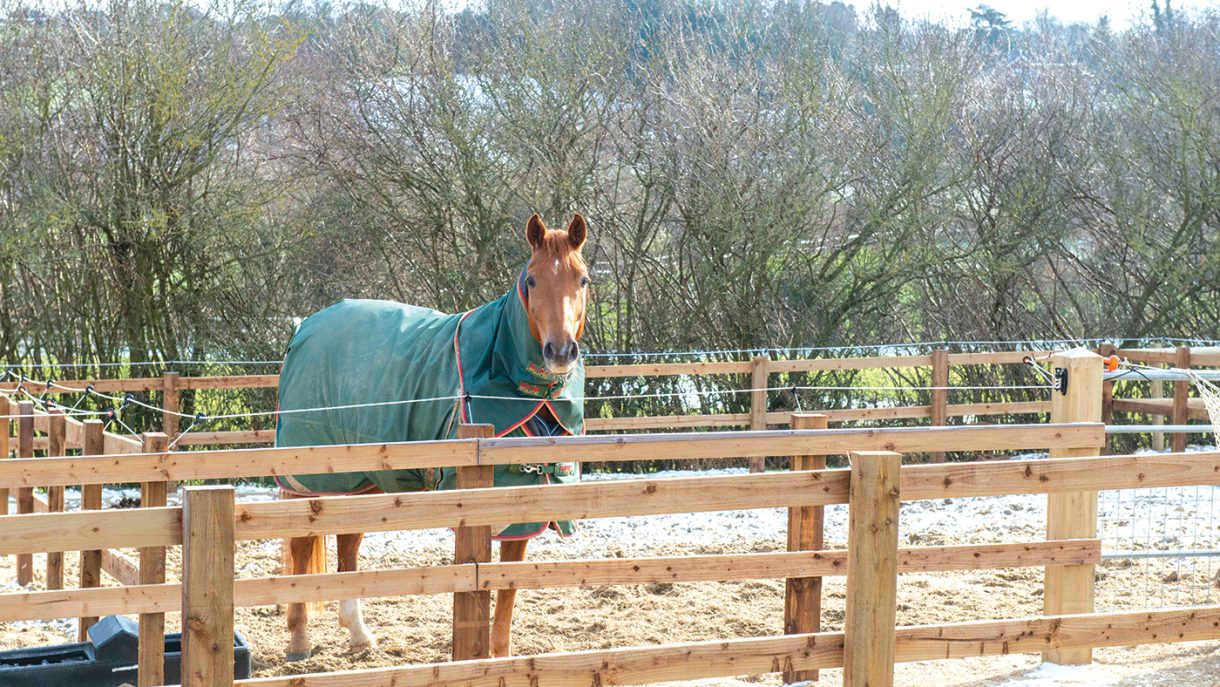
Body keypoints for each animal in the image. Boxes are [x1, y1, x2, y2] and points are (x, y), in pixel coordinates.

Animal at [273, 214, 590, 662]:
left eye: (583, 279)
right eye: (531, 279)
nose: (559, 351)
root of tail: (306, 327)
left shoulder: (522, 511)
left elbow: (507, 590)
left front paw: (501, 656)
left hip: (362, 479)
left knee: (348, 542)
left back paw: (359, 634)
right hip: (315, 478)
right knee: (302, 548)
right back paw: (299, 640)